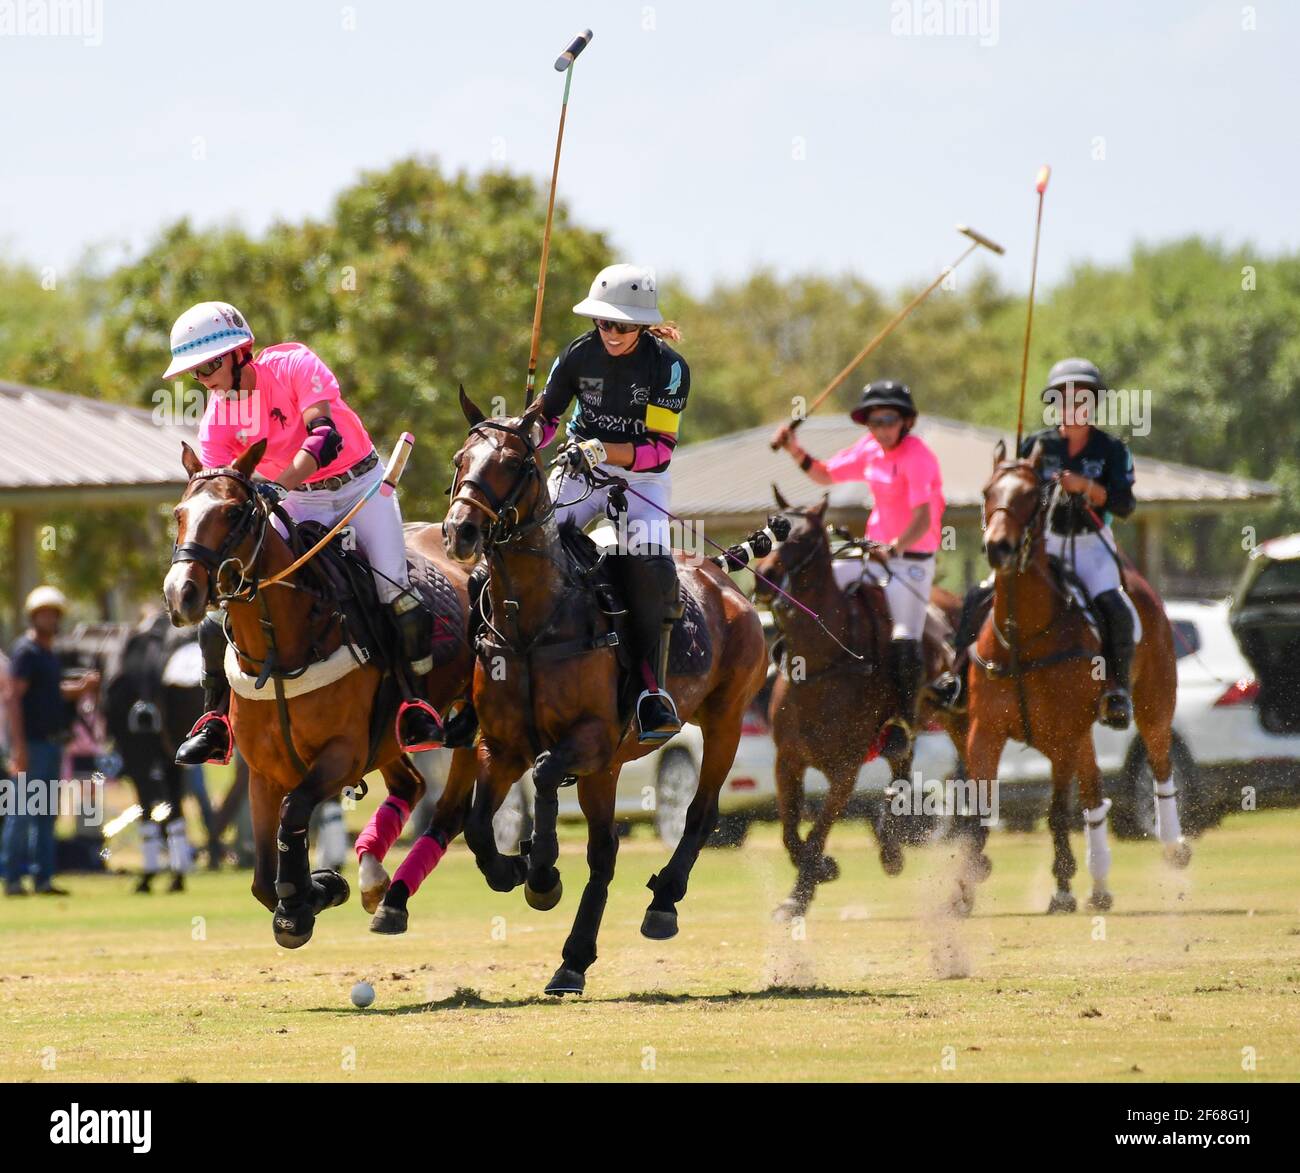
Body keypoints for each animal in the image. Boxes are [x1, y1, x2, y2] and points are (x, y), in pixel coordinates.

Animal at [162, 439, 478, 946]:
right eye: (179, 513)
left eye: (233, 513)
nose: (181, 594)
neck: (280, 655)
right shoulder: (264, 771)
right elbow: (261, 880)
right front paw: (317, 889)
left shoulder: (342, 755)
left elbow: (294, 815)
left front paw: (308, 898)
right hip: (387, 741)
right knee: (410, 785)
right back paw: (374, 882)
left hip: (472, 723)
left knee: (449, 811)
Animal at [426, 390, 769, 998]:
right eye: (459, 459)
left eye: (515, 464)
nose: (460, 532)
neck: (531, 624)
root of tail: (722, 575)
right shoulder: (501, 745)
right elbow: (477, 825)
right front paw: (514, 869)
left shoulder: (589, 738)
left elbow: (543, 775)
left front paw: (541, 874)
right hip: (609, 769)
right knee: (606, 851)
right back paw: (573, 960)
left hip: (723, 720)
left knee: (701, 812)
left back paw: (662, 903)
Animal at [748, 491, 977, 920]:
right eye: (768, 529)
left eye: (802, 538)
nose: (763, 578)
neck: (821, 666)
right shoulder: (786, 761)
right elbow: (790, 833)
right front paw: (821, 871)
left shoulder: (845, 771)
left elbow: (817, 831)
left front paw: (800, 894)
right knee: (901, 767)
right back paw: (892, 845)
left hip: (961, 718)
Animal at [972, 442, 1185, 920]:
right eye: (987, 491)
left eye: (1031, 496)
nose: (998, 548)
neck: (1022, 636)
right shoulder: (984, 733)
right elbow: (976, 812)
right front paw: (961, 888)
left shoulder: (1064, 733)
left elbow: (1056, 813)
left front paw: (1064, 888)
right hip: (1082, 734)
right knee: (1094, 795)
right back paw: (1101, 884)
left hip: (1153, 705)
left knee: (1160, 765)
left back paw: (1174, 846)